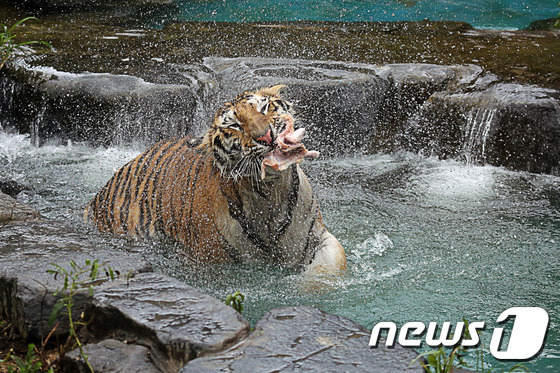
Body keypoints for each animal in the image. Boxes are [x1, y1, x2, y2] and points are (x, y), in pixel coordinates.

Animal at [84, 84, 346, 274]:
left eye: (264, 109)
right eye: (235, 125)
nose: (266, 137)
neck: (270, 192)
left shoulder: (318, 237)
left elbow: (332, 263)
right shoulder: (207, 259)